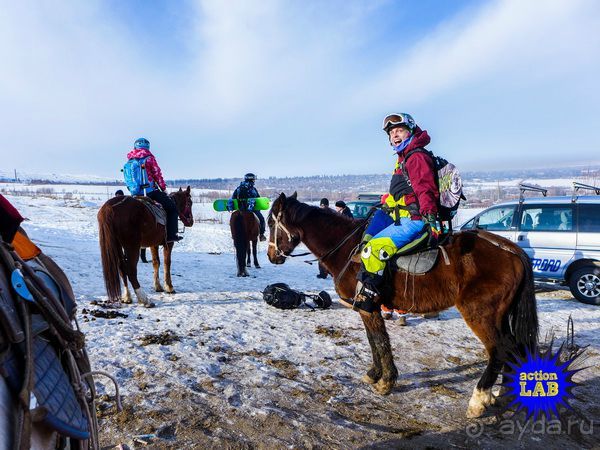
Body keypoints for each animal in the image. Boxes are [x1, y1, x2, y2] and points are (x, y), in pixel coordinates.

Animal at [268, 193, 540, 418]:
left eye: (271, 224)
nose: (271, 256)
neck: (347, 248)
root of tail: (512, 251)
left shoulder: (368, 307)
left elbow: (380, 342)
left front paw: (386, 381)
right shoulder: (368, 309)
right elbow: (373, 342)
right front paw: (374, 374)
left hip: (481, 315)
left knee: (499, 350)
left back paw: (478, 400)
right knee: (513, 348)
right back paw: (505, 395)